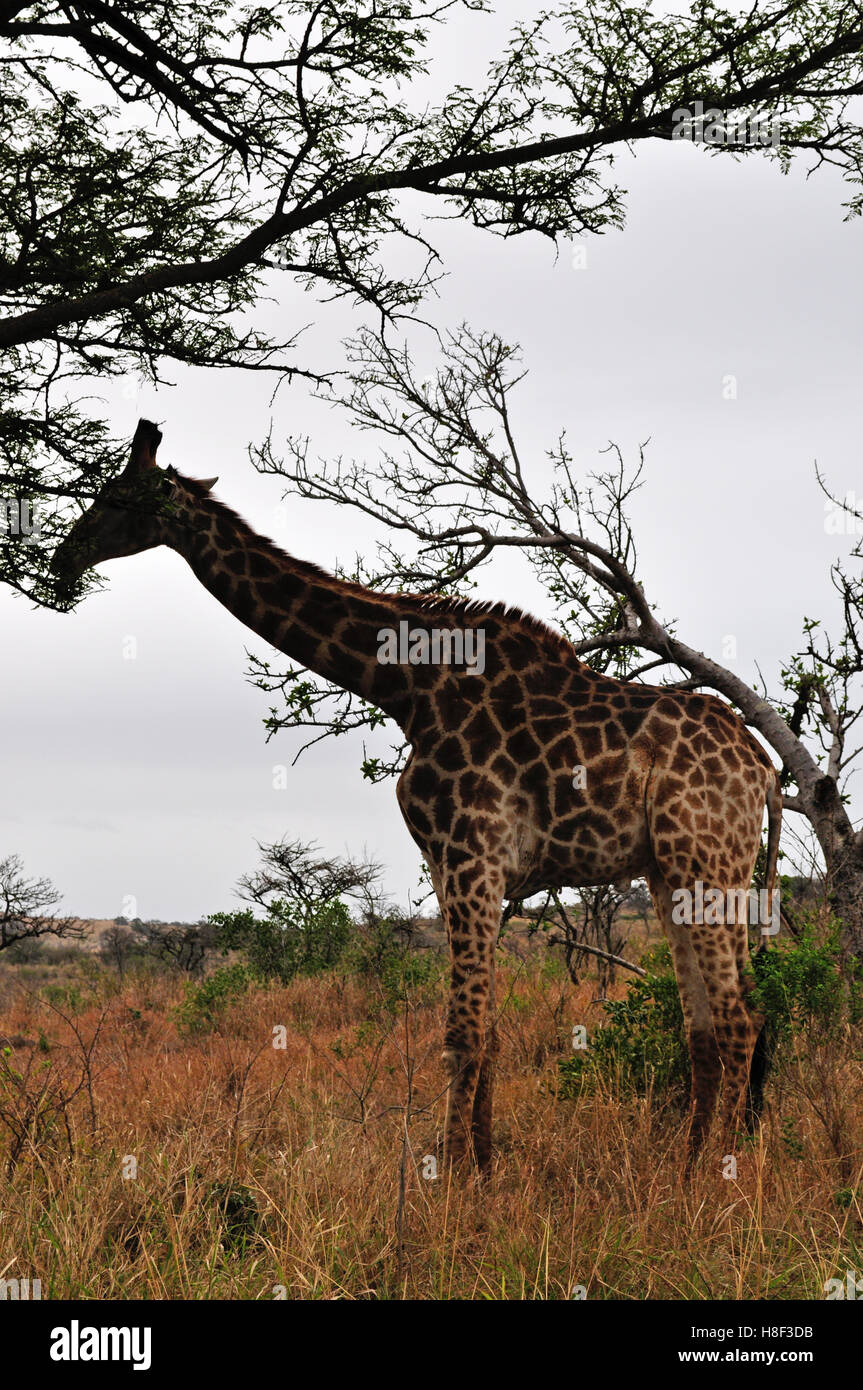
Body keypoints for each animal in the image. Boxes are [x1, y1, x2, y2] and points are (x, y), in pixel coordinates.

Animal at [53, 419, 778, 1173]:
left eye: (116, 498)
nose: (61, 560)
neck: (405, 687)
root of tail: (761, 767)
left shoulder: (470, 856)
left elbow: (461, 1031)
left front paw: (450, 1176)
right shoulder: (458, 864)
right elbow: (487, 1029)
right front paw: (483, 1168)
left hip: (706, 859)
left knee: (737, 1017)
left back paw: (718, 1173)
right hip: (672, 871)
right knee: (705, 1023)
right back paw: (687, 1165)